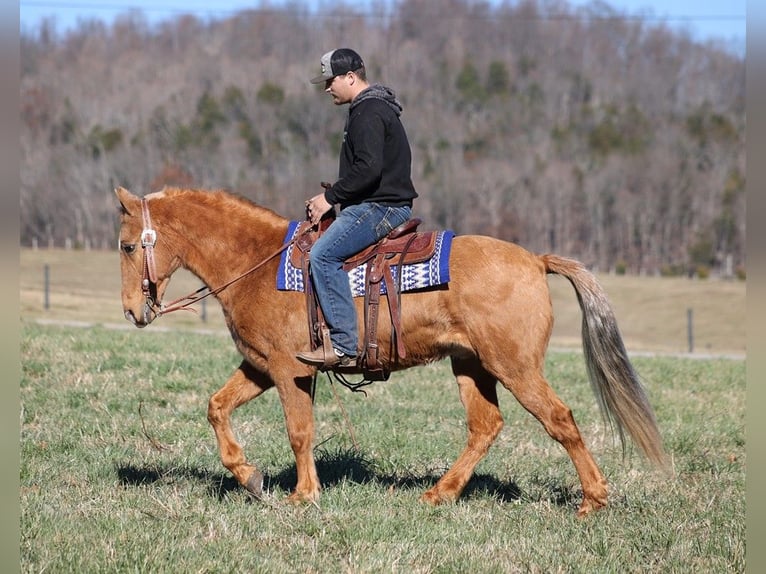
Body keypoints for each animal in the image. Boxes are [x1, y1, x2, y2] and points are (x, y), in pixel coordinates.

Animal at [114, 184, 664, 516]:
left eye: (126, 245)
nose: (132, 311)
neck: (257, 263)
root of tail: (534, 259)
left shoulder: (290, 370)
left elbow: (298, 432)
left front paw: (303, 495)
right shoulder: (262, 367)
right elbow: (217, 406)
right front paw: (249, 476)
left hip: (515, 367)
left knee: (560, 419)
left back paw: (593, 499)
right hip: (471, 366)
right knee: (485, 427)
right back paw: (439, 494)